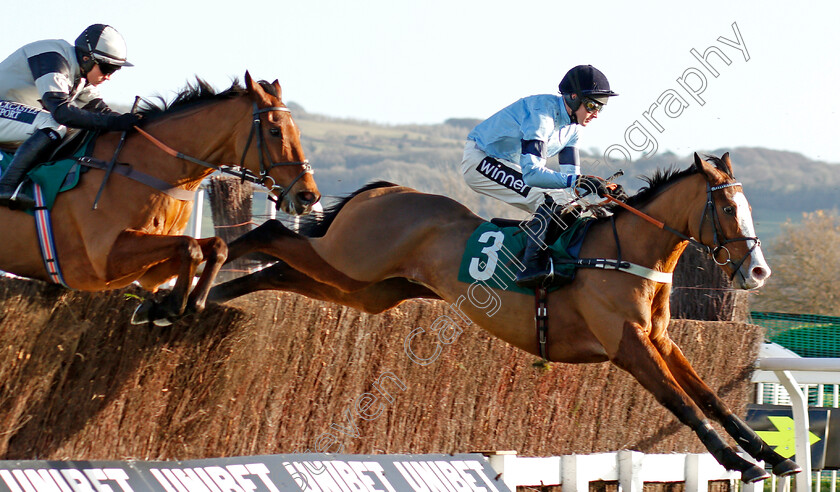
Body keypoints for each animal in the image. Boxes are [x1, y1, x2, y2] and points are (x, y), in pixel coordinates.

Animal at [0, 72, 320, 326]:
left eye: (297, 130)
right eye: (274, 130)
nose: (308, 195)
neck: (148, 168)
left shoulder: (148, 272)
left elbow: (215, 247)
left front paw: (175, 305)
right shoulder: (103, 261)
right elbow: (191, 247)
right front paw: (169, 307)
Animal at [210, 153, 800, 480]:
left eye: (748, 207)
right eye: (728, 208)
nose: (759, 271)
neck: (625, 252)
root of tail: (387, 190)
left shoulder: (660, 340)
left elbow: (710, 396)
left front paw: (772, 455)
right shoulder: (627, 345)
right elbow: (682, 403)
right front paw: (740, 464)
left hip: (366, 288)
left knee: (277, 270)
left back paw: (205, 298)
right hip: (350, 260)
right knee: (271, 234)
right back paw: (200, 271)